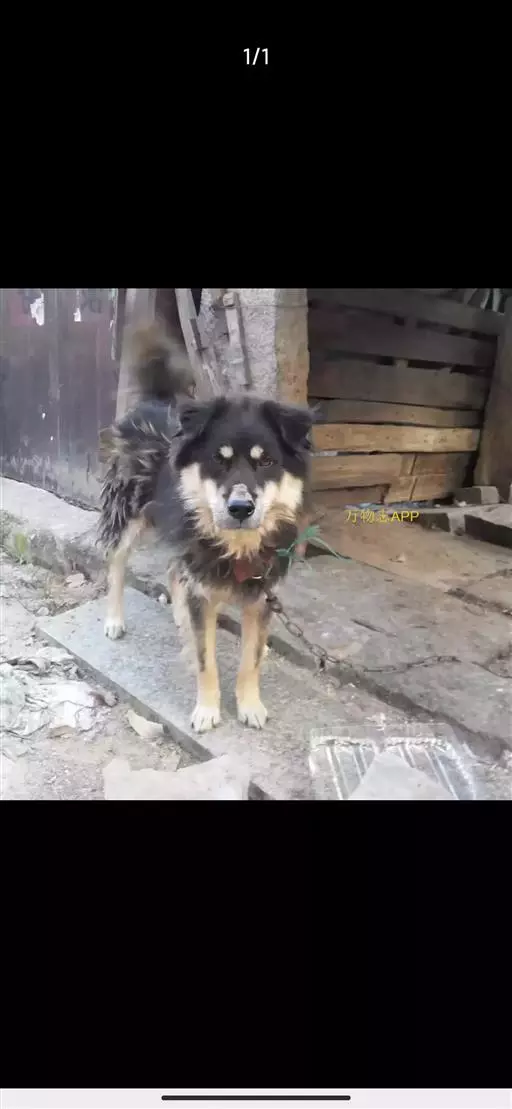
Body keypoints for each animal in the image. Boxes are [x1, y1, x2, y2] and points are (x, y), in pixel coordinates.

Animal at [99, 323, 313, 733]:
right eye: (219, 459)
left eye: (267, 462)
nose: (241, 508)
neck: (238, 545)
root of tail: (154, 401)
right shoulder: (202, 585)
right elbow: (205, 658)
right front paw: (207, 710)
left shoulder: (262, 597)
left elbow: (251, 659)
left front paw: (250, 705)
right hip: (127, 516)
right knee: (116, 565)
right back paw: (114, 620)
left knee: (172, 571)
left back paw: (180, 616)